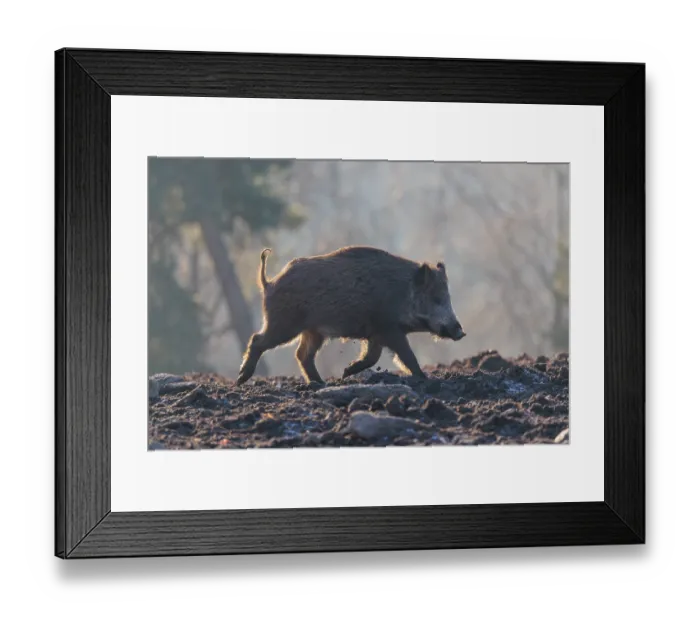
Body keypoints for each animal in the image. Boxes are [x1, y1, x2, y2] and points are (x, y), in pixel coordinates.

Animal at [235, 245, 466, 386]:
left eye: (448, 297)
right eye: (436, 298)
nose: (460, 332)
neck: (401, 295)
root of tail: (270, 282)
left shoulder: (376, 334)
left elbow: (372, 357)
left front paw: (346, 372)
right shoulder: (388, 329)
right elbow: (406, 356)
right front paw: (424, 378)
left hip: (313, 331)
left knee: (302, 354)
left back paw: (320, 383)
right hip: (284, 324)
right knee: (257, 340)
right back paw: (241, 379)